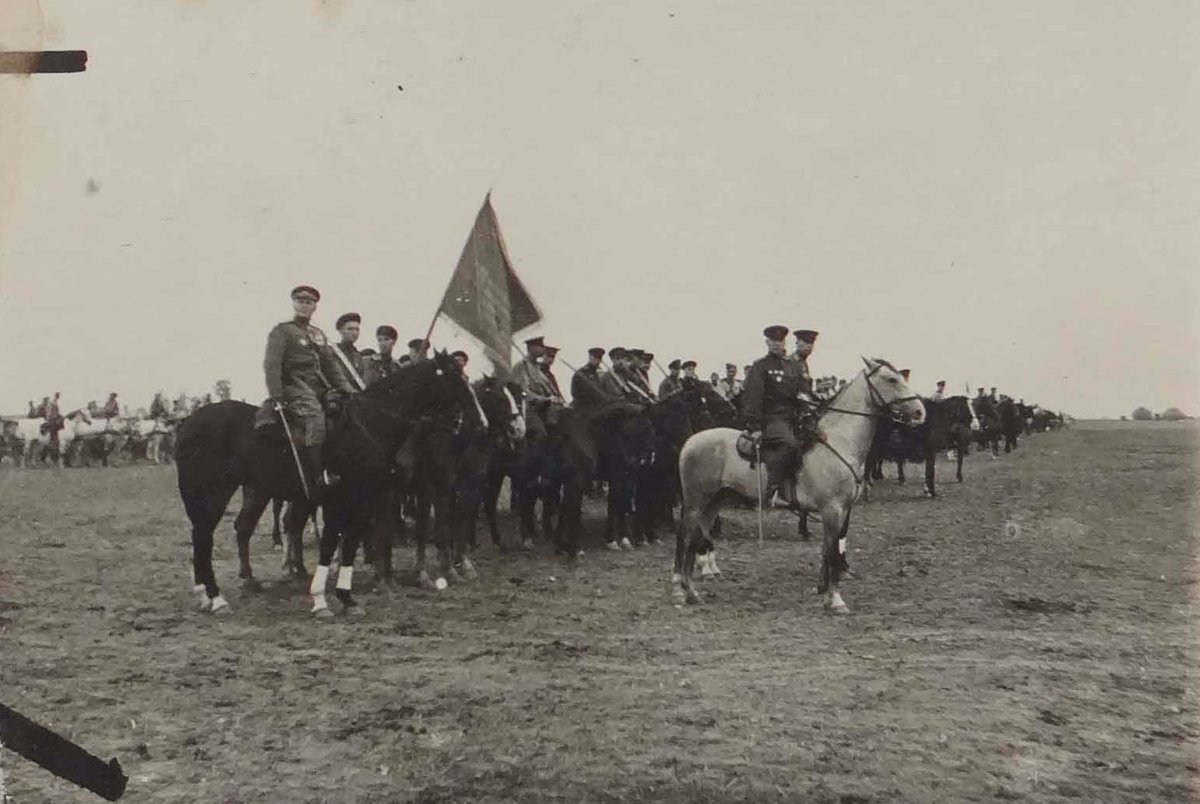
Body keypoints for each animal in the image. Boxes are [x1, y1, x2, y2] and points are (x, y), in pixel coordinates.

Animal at [175, 355, 475, 619]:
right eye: (455, 377)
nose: (472, 420)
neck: (369, 425)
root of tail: (187, 423)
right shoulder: (348, 499)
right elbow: (334, 544)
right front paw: (323, 600)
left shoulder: (361, 501)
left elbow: (346, 545)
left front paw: (345, 599)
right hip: (217, 494)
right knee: (206, 537)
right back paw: (217, 598)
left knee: (209, 536)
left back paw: (209, 594)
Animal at [676, 360, 916, 619]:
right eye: (892, 380)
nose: (919, 411)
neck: (836, 442)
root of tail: (690, 441)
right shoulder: (832, 509)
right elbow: (832, 552)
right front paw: (836, 600)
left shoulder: (843, 510)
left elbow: (830, 548)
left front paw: (825, 592)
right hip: (696, 501)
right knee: (685, 534)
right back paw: (681, 588)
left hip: (714, 501)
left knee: (697, 535)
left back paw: (692, 591)